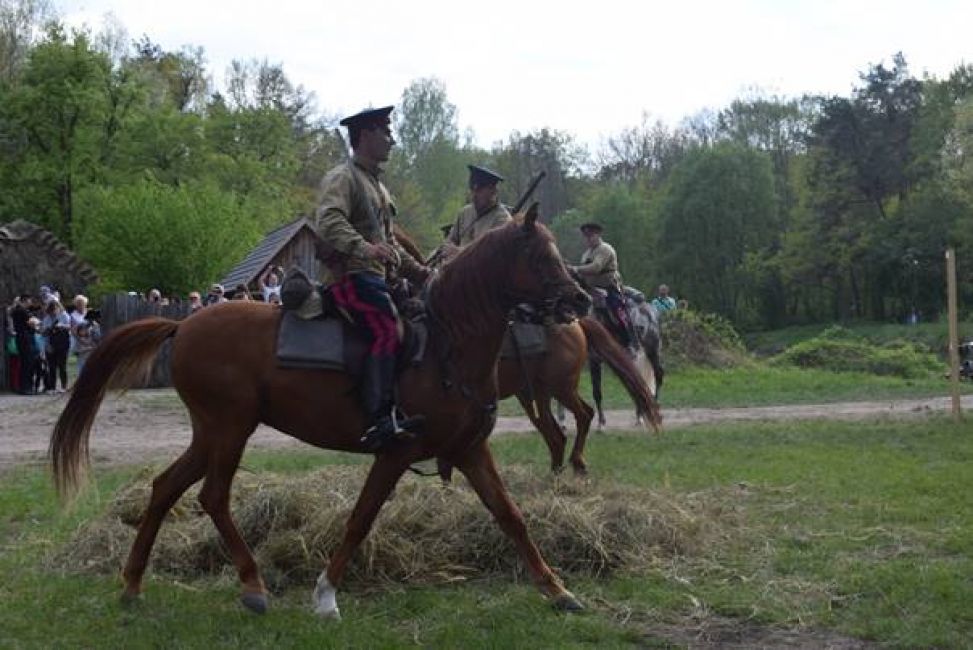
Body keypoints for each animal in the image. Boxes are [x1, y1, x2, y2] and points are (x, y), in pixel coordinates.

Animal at [49, 208, 636, 616]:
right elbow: (360, 519)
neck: (446, 344)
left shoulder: (470, 450)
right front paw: (327, 594)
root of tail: (183, 324)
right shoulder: (395, 452)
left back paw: (132, 584)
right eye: (538, 257)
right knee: (212, 496)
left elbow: (511, 516)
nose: (578, 300)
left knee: (165, 487)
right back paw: (252, 585)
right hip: (230, 428)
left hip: (211, 433)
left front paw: (557, 590)